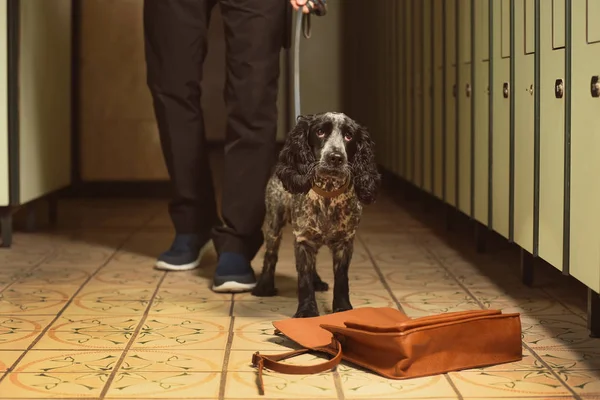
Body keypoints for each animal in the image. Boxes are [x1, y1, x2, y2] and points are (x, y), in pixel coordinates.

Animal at [252, 112, 382, 318]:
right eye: (320, 132)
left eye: (349, 136)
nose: (335, 158)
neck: (328, 194)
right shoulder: (303, 239)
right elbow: (303, 281)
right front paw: (307, 311)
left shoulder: (344, 242)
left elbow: (341, 279)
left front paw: (342, 308)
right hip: (274, 221)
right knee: (270, 254)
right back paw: (264, 286)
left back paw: (317, 281)